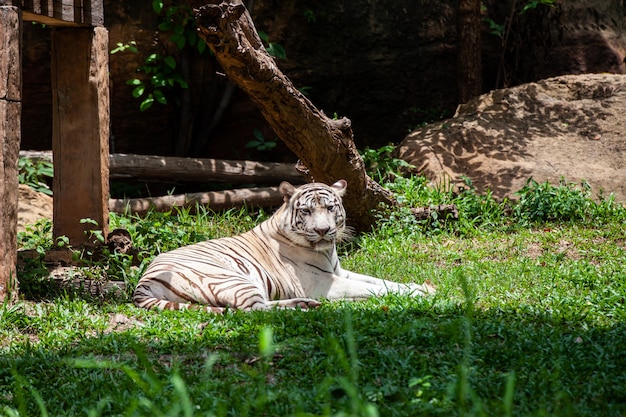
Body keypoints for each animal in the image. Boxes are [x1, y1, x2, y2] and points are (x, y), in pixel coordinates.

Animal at [133, 180, 434, 312]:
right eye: (307, 211)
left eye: (330, 207)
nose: (323, 230)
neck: (326, 251)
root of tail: (143, 281)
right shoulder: (324, 282)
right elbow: (374, 287)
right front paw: (418, 294)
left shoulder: (339, 272)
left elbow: (381, 281)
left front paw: (421, 287)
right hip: (231, 278)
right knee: (254, 309)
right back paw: (304, 305)